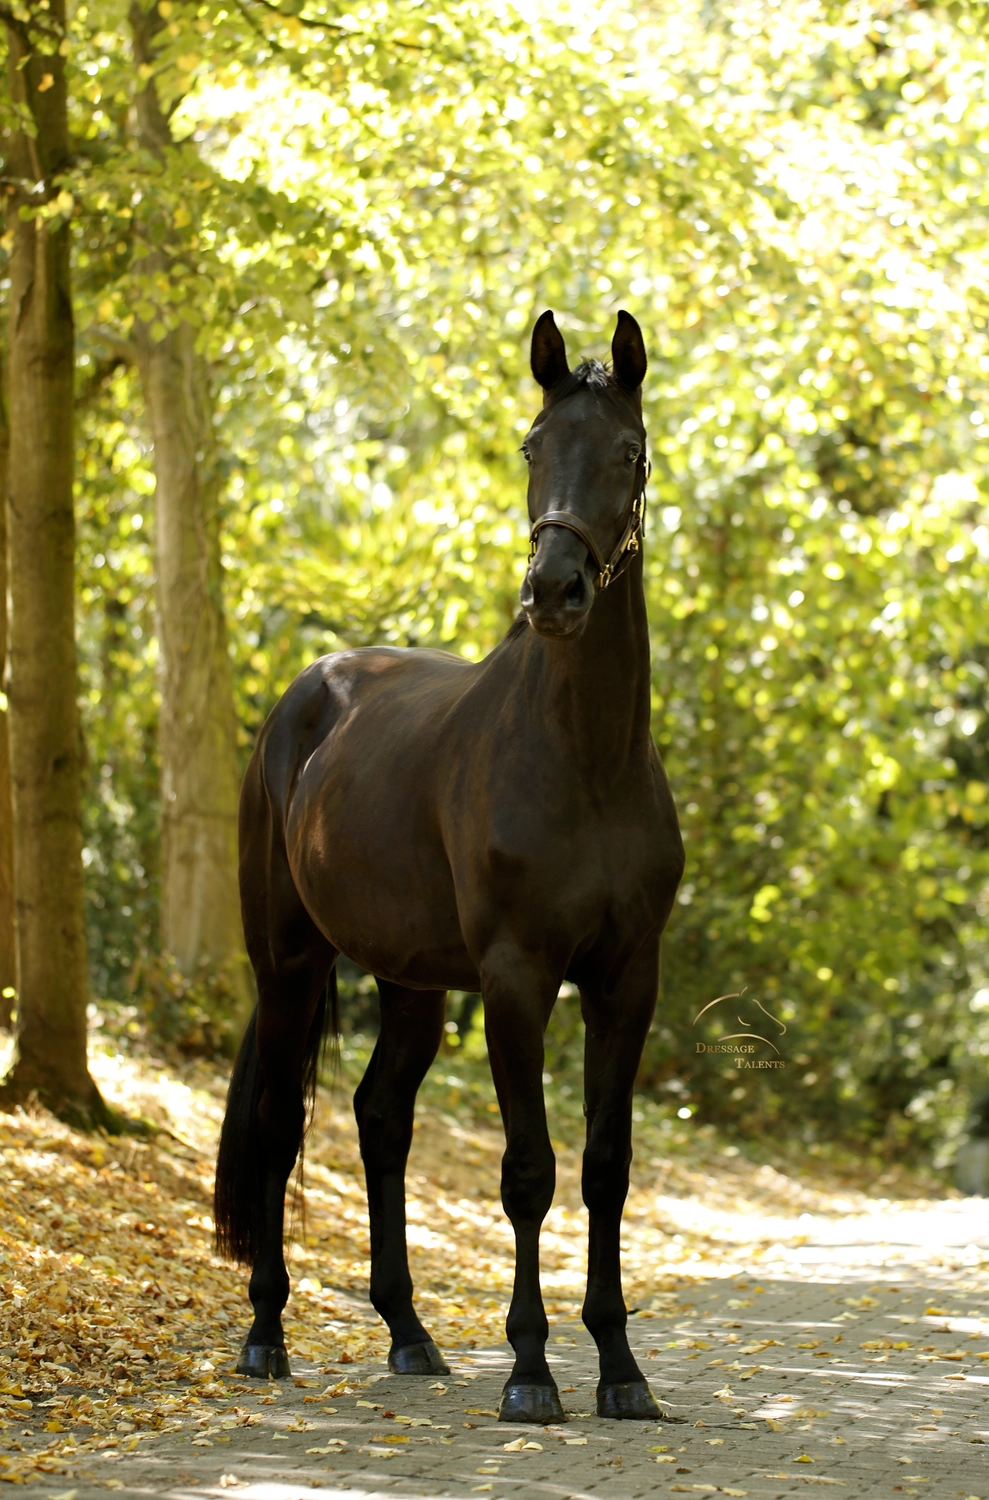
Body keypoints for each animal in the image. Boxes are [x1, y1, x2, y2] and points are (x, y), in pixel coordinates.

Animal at [214, 309, 685, 1424]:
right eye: (530, 446)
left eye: (628, 454)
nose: (554, 591)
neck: (585, 759)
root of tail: (309, 692)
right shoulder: (517, 979)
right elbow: (528, 1172)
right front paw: (529, 1373)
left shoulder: (626, 981)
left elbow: (605, 1168)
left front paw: (620, 1369)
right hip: (289, 964)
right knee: (275, 1123)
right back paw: (265, 1335)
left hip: (411, 983)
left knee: (380, 1119)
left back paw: (408, 1333)